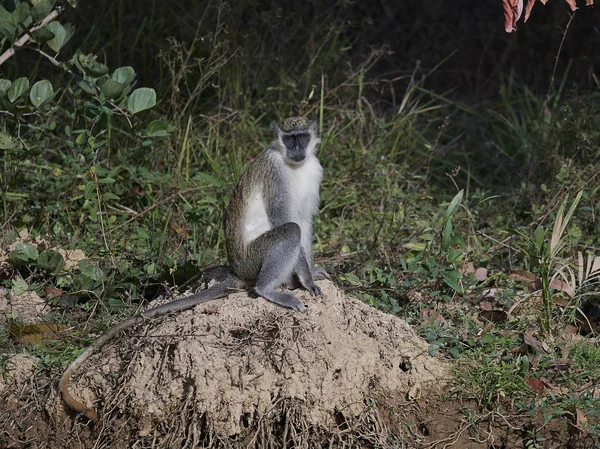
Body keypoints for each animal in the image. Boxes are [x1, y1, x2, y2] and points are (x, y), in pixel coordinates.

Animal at [59, 115, 328, 420]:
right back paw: (268, 289)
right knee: (289, 232)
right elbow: (290, 221)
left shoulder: (314, 169)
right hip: (253, 260)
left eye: (302, 137)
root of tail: (237, 270)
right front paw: (307, 280)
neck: (295, 165)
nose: (297, 149)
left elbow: (306, 221)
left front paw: (311, 274)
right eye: (289, 138)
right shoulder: (275, 174)